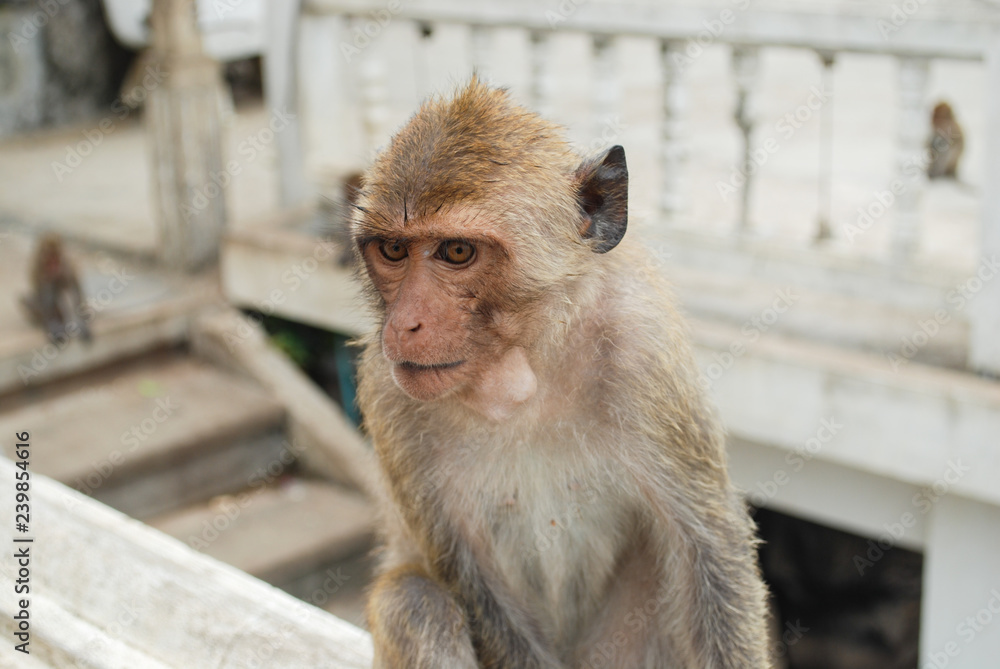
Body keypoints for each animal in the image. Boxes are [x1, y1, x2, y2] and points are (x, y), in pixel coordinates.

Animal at [353, 78, 771, 669]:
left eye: (456, 251)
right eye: (393, 249)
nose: (404, 324)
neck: (525, 376)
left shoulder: (644, 353)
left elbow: (706, 546)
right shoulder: (386, 393)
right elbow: (469, 578)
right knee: (413, 601)